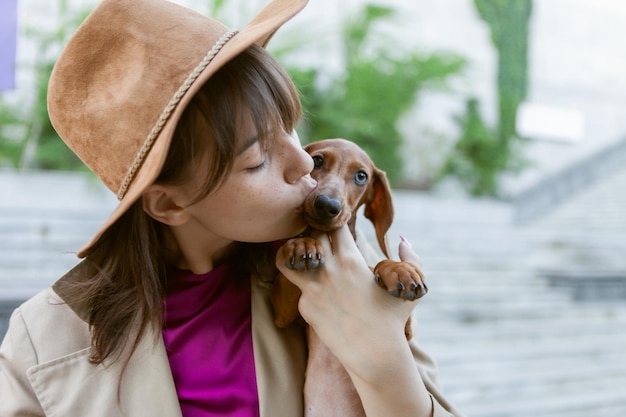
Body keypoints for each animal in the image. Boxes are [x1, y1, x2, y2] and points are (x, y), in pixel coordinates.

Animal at [270, 138, 426, 414]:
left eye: (361, 176)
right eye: (317, 161)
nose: (327, 205)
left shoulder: (405, 333)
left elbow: (376, 264)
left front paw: (400, 269)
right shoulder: (282, 313)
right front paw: (302, 244)